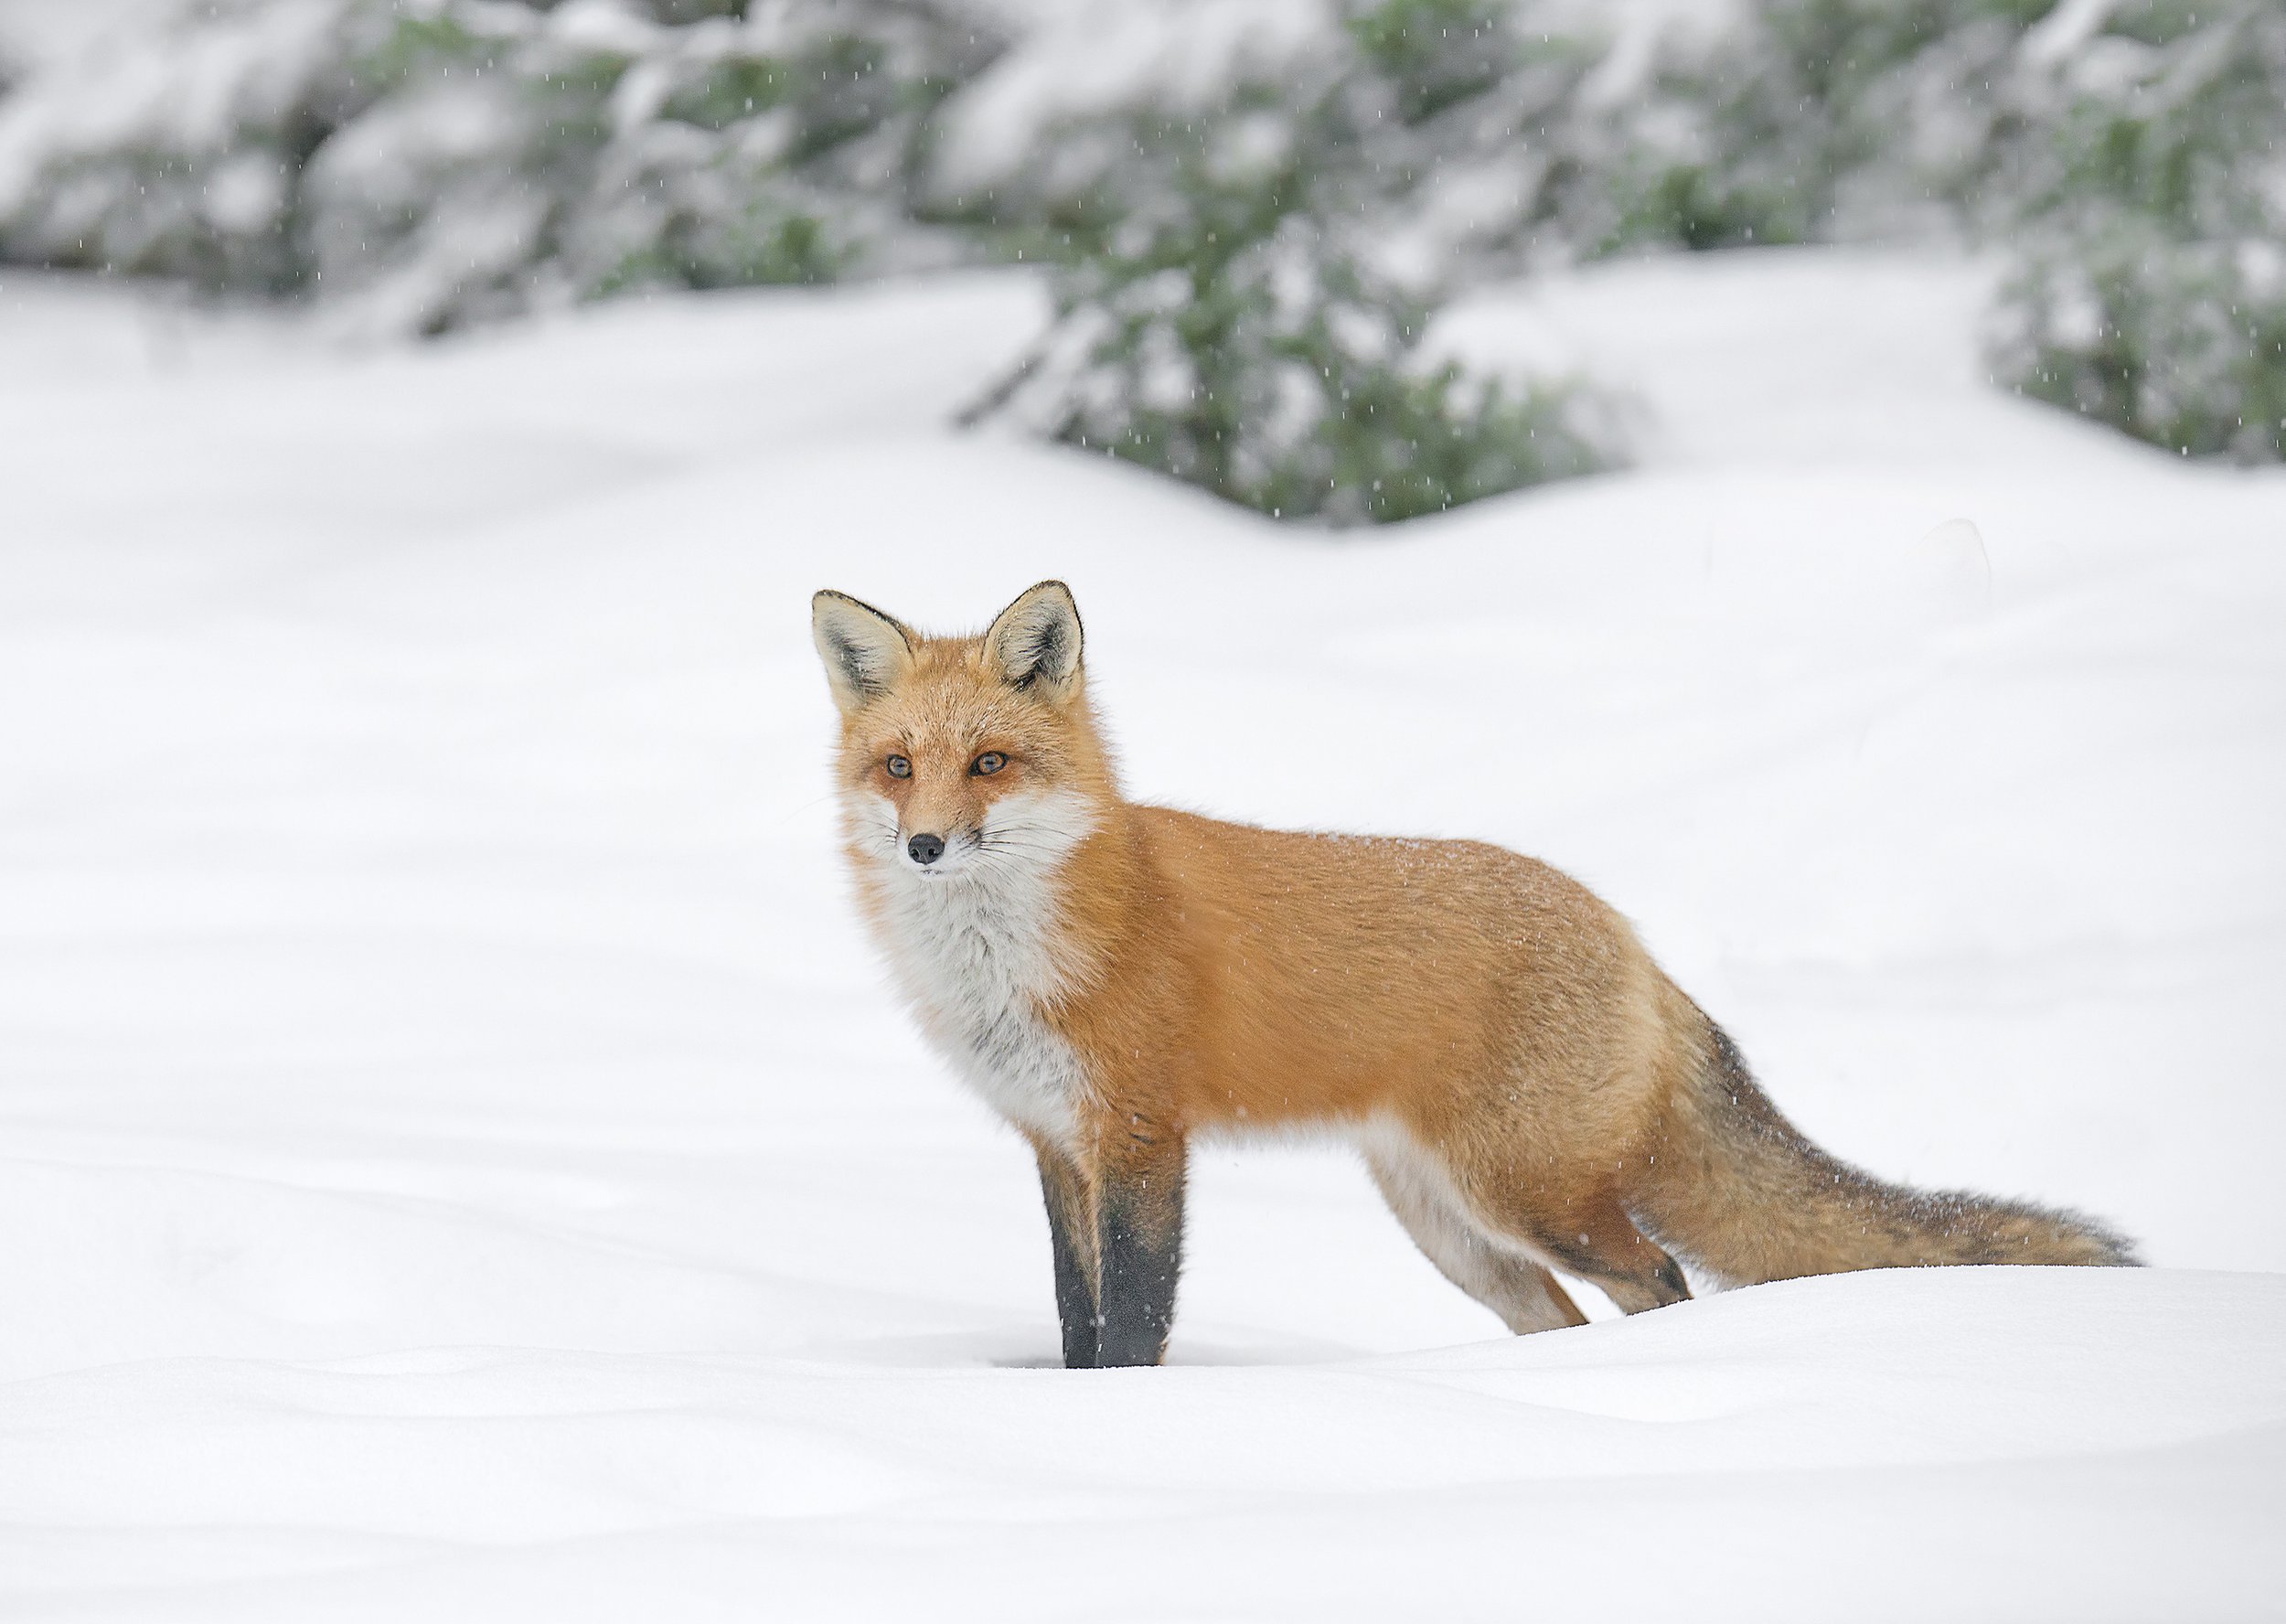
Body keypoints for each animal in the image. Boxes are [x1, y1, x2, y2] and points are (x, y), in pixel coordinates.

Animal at [814, 578, 2131, 1362]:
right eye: (899, 767)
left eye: (989, 764)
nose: (925, 845)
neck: (1016, 961)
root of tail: (1627, 934)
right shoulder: (1054, 1144)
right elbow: (1075, 1316)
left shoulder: (1142, 1138)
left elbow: (1135, 1322)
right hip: (1455, 1231)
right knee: (1563, 1315)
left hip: (1527, 1196)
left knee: (1660, 1278)